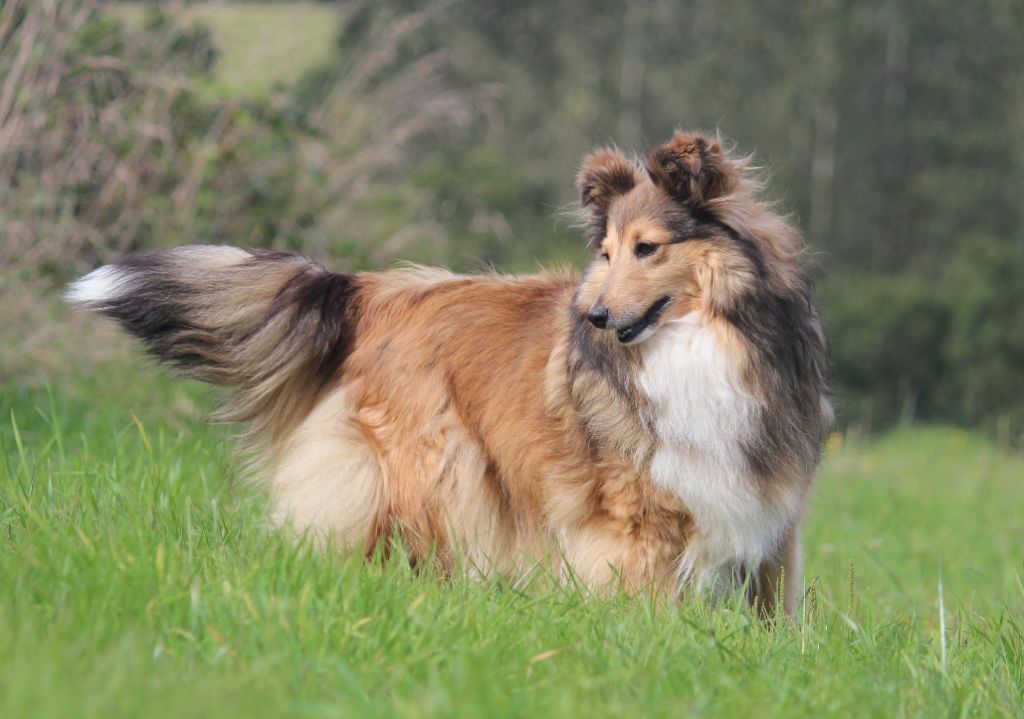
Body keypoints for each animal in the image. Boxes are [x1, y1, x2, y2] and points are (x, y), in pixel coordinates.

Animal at [66, 131, 831, 614]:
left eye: (648, 248)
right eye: (607, 251)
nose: (592, 317)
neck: (696, 342)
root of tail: (374, 290)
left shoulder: (768, 508)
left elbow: (777, 605)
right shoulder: (633, 513)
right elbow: (645, 596)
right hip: (436, 468)